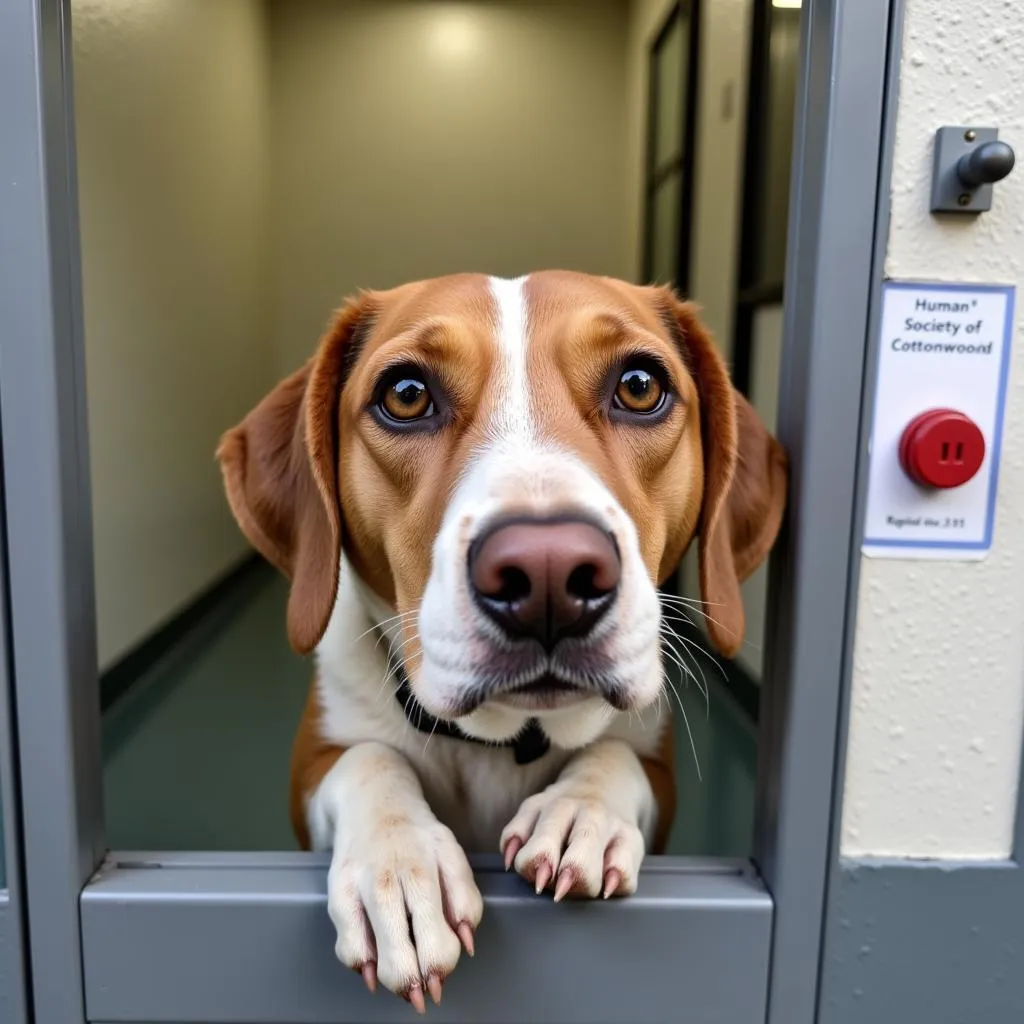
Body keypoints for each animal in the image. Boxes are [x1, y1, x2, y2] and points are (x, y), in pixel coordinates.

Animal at [220, 268, 786, 1011]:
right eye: (406, 395)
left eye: (640, 385)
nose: (548, 575)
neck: (500, 740)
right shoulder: (311, 769)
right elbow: (369, 759)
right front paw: (399, 867)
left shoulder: (658, 778)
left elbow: (616, 754)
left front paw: (581, 809)